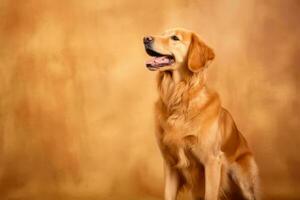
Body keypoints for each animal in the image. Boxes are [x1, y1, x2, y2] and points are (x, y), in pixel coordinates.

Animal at [144, 28, 258, 200]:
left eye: (175, 38)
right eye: (162, 33)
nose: (145, 39)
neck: (179, 98)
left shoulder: (212, 161)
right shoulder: (170, 163)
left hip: (242, 176)